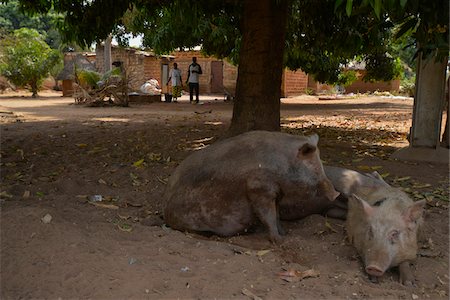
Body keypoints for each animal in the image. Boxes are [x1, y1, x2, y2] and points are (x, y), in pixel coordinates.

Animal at [163, 130, 340, 243]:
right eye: (314, 168)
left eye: (320, 164)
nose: (336, 194)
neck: (282, 165)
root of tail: (165, 210)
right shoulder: (259, 188)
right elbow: (268, 215)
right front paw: (279, 241)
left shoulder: (276, 193)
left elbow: (276, 214)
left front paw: (285, 234)